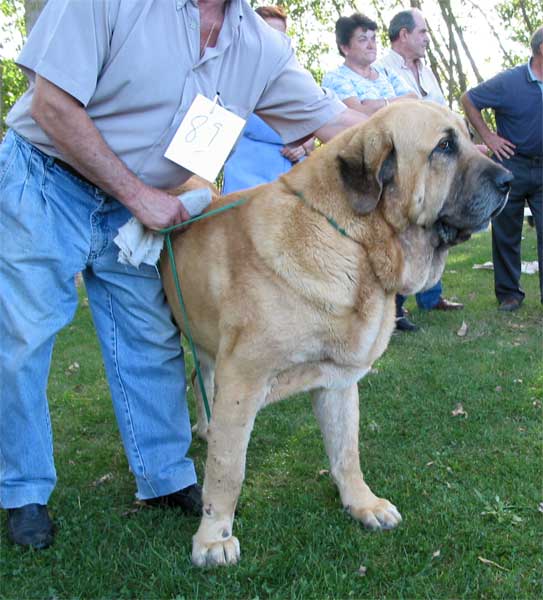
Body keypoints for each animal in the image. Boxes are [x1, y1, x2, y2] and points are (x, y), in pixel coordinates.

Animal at [159, 101, 512, 564]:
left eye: (469, 139)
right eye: (445, 147)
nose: (509, 181)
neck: (355, 242)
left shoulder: (338, 380)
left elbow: (347, 451)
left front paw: (362, 504)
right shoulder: (243, 381)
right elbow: (227, 468)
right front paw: (213, 537)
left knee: (200, 375)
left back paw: (205, 425)